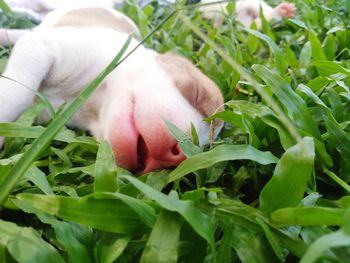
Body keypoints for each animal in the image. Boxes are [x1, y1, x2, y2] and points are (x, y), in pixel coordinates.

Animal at [0, 6, 224, 175]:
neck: (94, 102)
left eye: (202, 146)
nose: (176, 155)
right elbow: (15, 95)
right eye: (196, 94)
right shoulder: (44, 47)